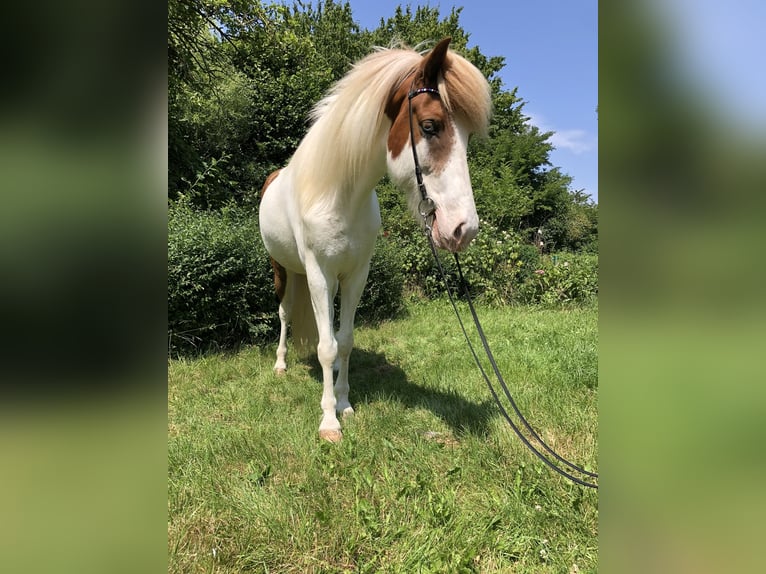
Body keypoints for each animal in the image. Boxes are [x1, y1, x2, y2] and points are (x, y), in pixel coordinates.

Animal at [258, 38, 492, 442]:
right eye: (430, 126)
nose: (464, 229)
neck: (338, 194)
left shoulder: (356, 275)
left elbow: (345, 341)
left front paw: (344, 403)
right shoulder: (319, 274)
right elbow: (325, 346)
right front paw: (329, 421)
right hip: (284, 270)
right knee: (285, 314)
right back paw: (281, 364)